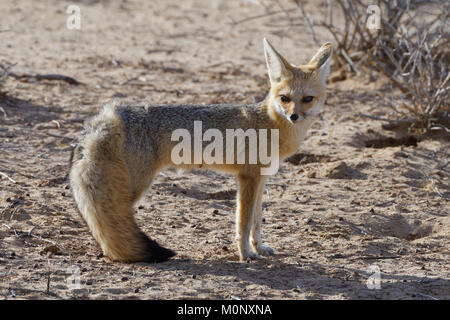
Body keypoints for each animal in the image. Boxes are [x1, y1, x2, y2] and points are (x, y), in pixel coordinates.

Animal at [69, 38, 330, 262]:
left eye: (307, 98)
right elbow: (244, 222)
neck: (270, 124)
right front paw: (245, 254)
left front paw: (259, 247)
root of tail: (110, 115)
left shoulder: (261, 178)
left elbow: (257, 220)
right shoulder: (248, 178)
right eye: (285, 98)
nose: (294, 116)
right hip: (133, 188)